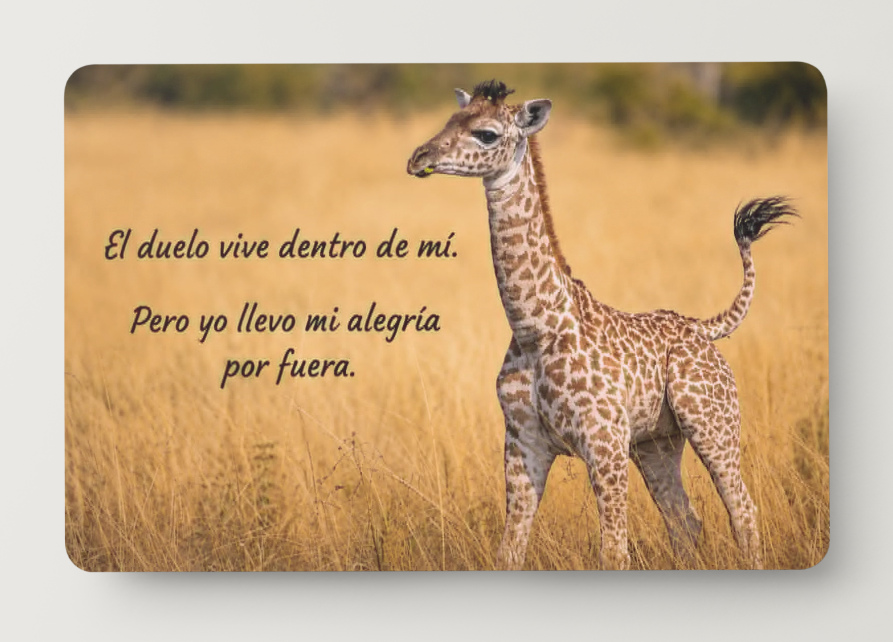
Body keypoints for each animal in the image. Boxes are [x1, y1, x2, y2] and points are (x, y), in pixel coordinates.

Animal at [406, 80, 796, 570]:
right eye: (450, 120)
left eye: (487, 134)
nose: (418, 157)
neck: (536, 327)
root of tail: (703, 328)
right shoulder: (521, 443)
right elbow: (509, 551)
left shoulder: (604, 443)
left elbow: (613, 552)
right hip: (656, 444)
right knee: (685, 522)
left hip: (711, 424)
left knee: (741, 509)